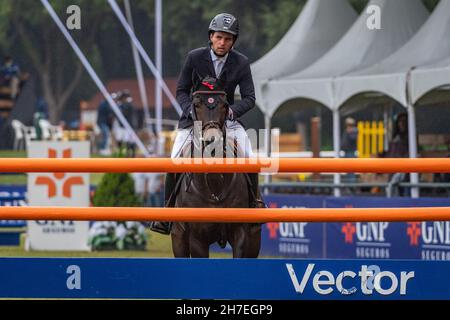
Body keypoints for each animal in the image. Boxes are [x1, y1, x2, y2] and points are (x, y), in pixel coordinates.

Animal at [171, 76, 262, 258]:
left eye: (225, 105)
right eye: (197, 104)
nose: (212, 141)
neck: (215, 187)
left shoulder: (241, 232)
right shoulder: (197, 237)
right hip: (178, 238)